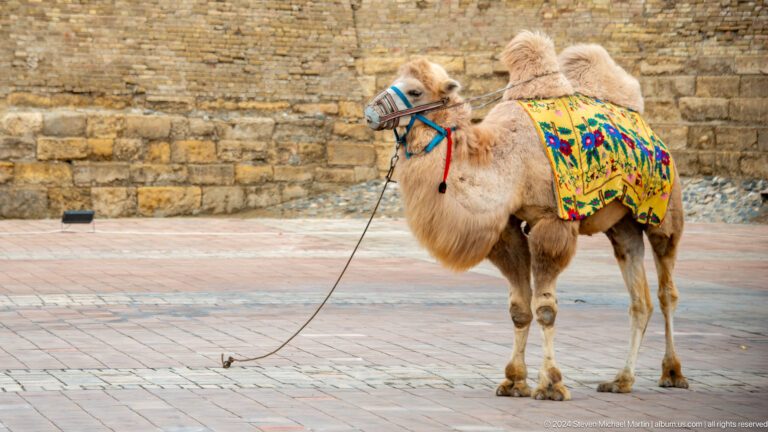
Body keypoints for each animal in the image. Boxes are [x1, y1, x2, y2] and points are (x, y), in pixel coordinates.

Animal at [365, 31, 688, 401]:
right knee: (639, 298)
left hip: (663, 211)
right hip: (623, 225)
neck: (506, 161)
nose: (370, 112)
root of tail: (647, 128)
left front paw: (551, 385)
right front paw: (514, 381)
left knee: (667, 291)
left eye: (416, 91)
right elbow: (519, 309)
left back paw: (673, 373)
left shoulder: (552, 221)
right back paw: (621, 380)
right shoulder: (507, 227)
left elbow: (545, 309)